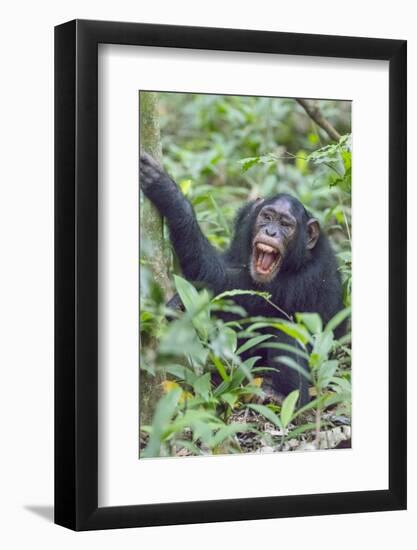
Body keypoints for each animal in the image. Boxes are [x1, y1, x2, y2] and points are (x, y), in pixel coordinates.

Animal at [138, 153, 342, 408]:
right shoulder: (243, 223)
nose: (271, 232)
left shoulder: (305, 279)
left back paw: (283, 395)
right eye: (267, 217)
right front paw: (177, 304)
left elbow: (223, 282)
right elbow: (226, 267)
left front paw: (169, 193)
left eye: (286, 225)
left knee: (287, 331)